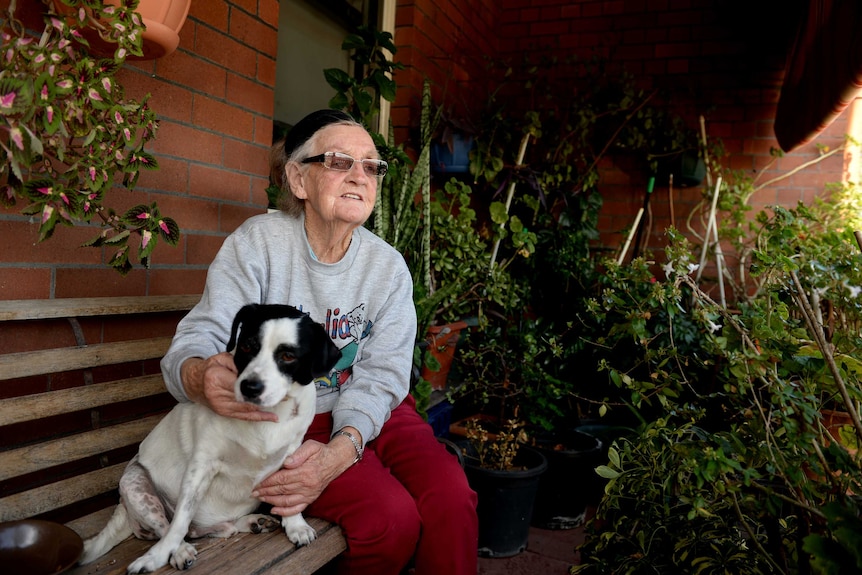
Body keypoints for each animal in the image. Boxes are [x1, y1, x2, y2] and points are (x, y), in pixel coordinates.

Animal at [78, 304, 340, 572]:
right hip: (135, 484)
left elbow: (289, 495)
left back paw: (251, 522)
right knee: (170, 526)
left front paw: (295, 525)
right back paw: (179, 550)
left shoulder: (291, 454)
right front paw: (157, 555)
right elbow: (180, 519)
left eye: (288, 356)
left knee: (216, 529)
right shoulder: (201, 466)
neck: (266, 418)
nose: (250, 387)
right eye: (247, 346)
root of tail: (123, 509)